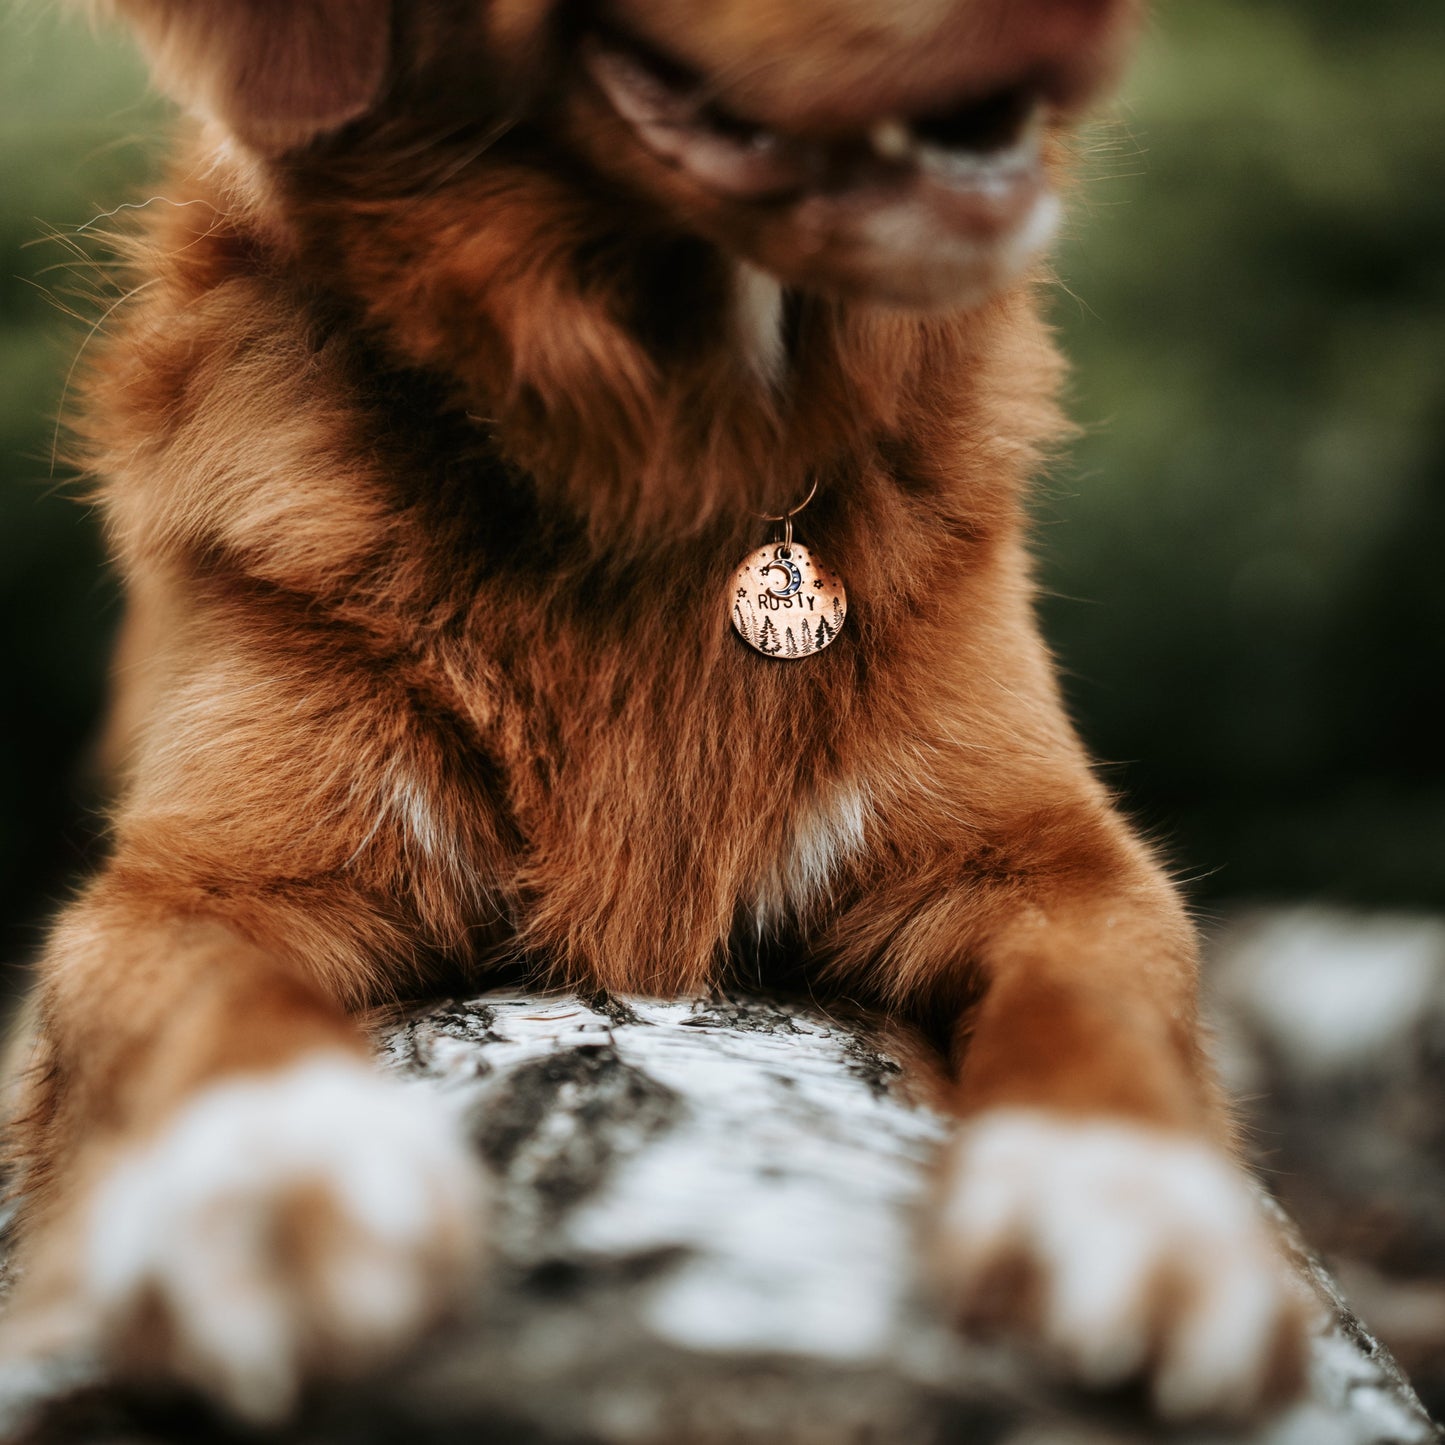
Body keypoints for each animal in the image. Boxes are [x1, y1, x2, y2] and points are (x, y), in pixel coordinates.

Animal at [0, 0, 1312, 1421]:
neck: (675, 457)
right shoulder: (194, 879)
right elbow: (194, 993)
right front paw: (269, 1185)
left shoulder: (1050, 856)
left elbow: (1101, 994)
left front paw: (1128, 1197)